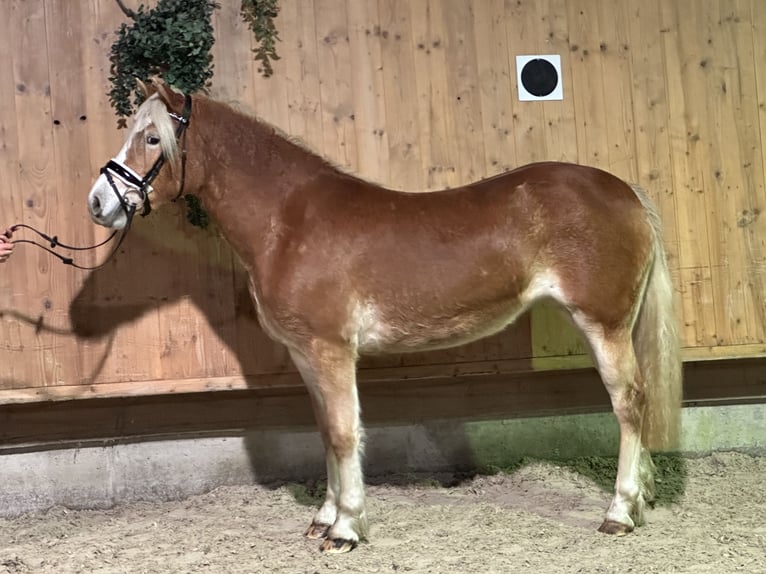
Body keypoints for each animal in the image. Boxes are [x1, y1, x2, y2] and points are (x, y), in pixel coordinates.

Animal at [88, 79, 684, 556]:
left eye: (151, 139)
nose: (99, 202)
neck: (290, 221)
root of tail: (625, 192)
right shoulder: (306, 354)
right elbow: (326, 430)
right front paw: (324, 518)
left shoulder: (331, 349)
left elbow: (345, 432)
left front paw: (346, 530)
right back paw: (641, 499)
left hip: (603, 323)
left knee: (629, 403)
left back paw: (619, 512)